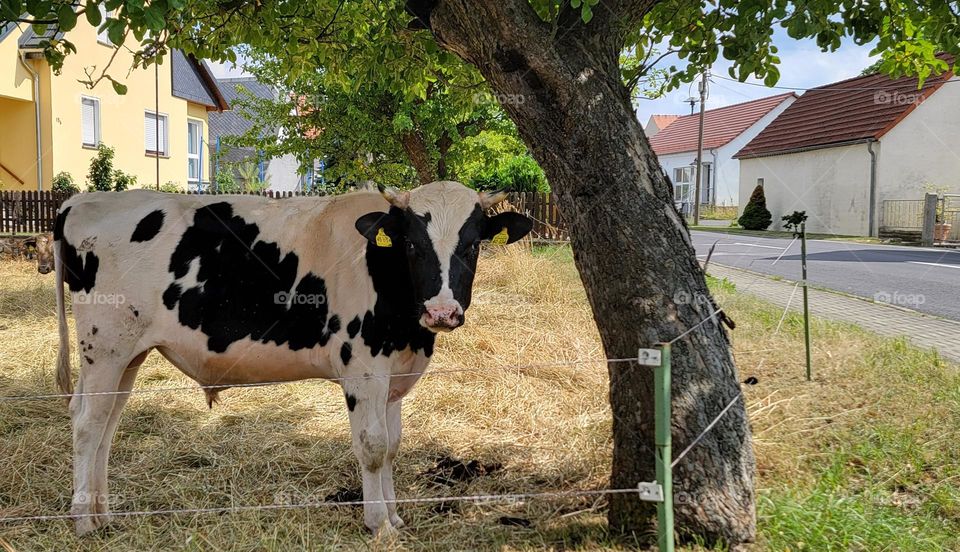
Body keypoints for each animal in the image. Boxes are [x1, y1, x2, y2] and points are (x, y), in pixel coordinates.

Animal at [53, 181, 532, 536]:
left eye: (472, 246)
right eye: (412, 245)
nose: (442, 312)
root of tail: (83, 200)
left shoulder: (394, 375)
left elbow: (393, 446)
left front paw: (395, 517)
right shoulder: (363, 371)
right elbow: (373, 447)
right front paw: (378, 524)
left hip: (126, 356)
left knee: (106, 425)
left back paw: (103, 514)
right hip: (105, 347)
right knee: (87, 424)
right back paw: (83, 522)